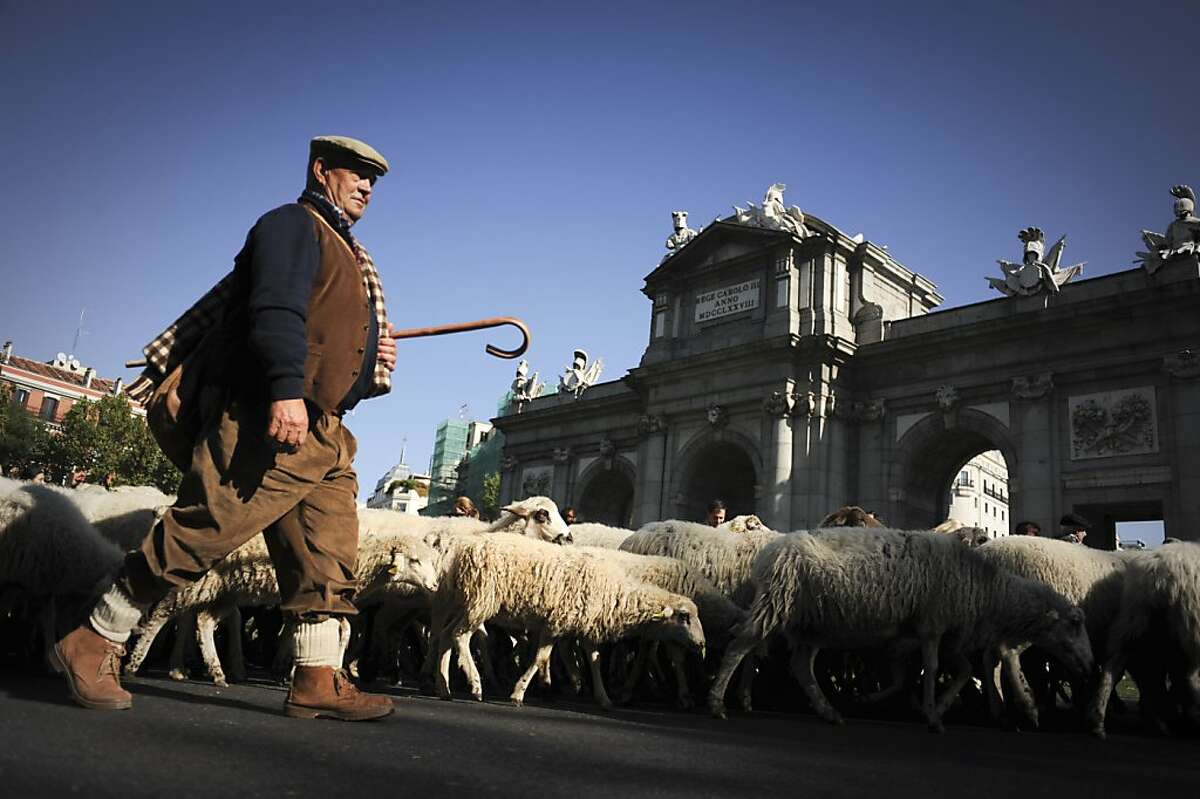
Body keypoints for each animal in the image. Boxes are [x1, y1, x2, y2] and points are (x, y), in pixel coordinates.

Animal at [429, 532, 700, 705]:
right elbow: (540, 658)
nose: (701, 644)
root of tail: (462, 550)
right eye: (684, 617)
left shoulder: (579, 625)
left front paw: (603, 697)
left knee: (445, 635)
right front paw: (519, 693)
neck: (615, 593)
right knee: (460, 636)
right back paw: (475, 685)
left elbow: (594, 660)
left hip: (463, 600)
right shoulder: (556, 623)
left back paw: (444, 688)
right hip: (482, 599)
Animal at [705, 525, 1094, 729]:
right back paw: (718, 703)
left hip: (811, 623)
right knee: (740, 645)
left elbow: (953, 672)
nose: (1090, 665)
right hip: (777, 605)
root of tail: (770, 550)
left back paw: (829, 711)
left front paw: (932, 708)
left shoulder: (936, 636)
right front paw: (932, 715)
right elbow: (933, 669)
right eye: (1075, 624)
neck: (985, 586)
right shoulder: (932, 626)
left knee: (800, 665)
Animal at [1089, 537, 1200, 739]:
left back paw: (1099, 722)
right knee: (1187, 678)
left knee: (1114, 667)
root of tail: (1158, 571)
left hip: (1134, 619)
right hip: (1187, 626)